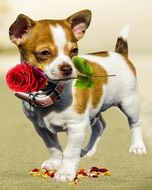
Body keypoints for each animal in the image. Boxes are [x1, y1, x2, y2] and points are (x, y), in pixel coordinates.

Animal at [9, 9, 146, 182]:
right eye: (44, 53)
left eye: (74, 51)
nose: (68, 68)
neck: (50, 92)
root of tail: (119, 55)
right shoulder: (41, 128)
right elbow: (53, 147)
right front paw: (55, 162)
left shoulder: (77, 127)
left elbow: (69, 152)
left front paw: (66, 172)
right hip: (95, 108)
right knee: (100, 125)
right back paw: (89, 150)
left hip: (129, 102)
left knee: (135, 123)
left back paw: (137, 147)